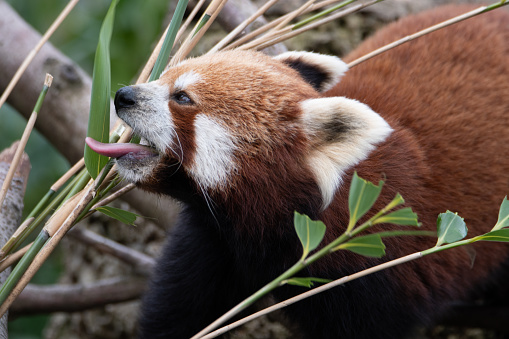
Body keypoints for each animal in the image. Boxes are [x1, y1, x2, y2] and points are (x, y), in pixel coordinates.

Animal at [87, 4, 508, 339]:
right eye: (163, 77)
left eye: (182, 98)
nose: (123, 96)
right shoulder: (213, 238)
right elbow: (177, 311)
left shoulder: (374, 267)